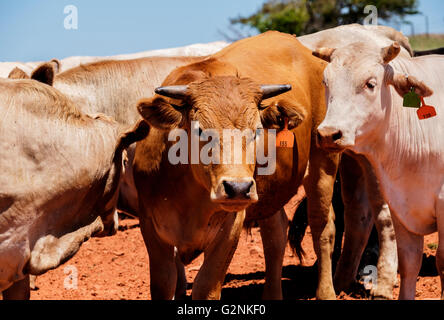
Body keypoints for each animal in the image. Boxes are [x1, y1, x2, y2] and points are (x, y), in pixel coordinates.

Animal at [132, 30, 340, 300]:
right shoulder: (151, 228)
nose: (238, 188)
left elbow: (206, 287)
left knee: (322, 228)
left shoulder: (231, 225)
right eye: (200, 130)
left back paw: (326, 291)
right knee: (275, 235)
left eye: (257, 131)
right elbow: (164, 284)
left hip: (322, 166)